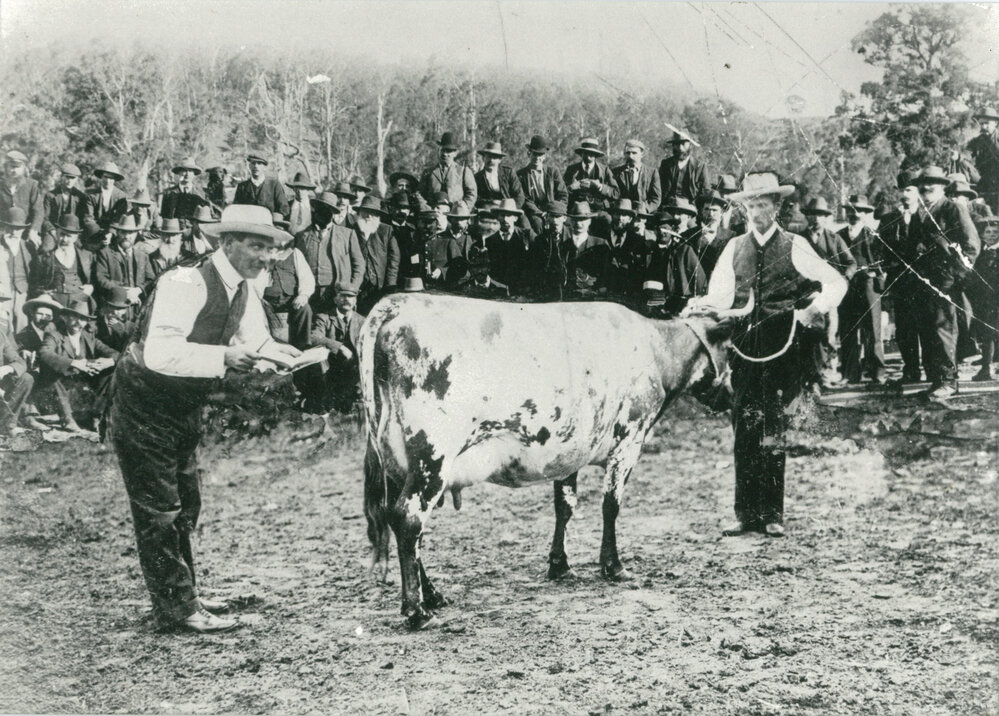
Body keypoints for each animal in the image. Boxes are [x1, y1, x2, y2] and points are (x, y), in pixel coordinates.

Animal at [358, 292, 746, 630]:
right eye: (730, 350)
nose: (731, 396)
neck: (655, 348)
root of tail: (396, 303)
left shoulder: (569, 450)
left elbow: (565, 506)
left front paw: (560, 565)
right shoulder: (629, 440)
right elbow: (611, 506)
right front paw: (613, 566)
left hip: (400, 460)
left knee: (403, 523)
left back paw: (434, 596)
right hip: (432, 455)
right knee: (408, 519)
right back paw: (417, 611)